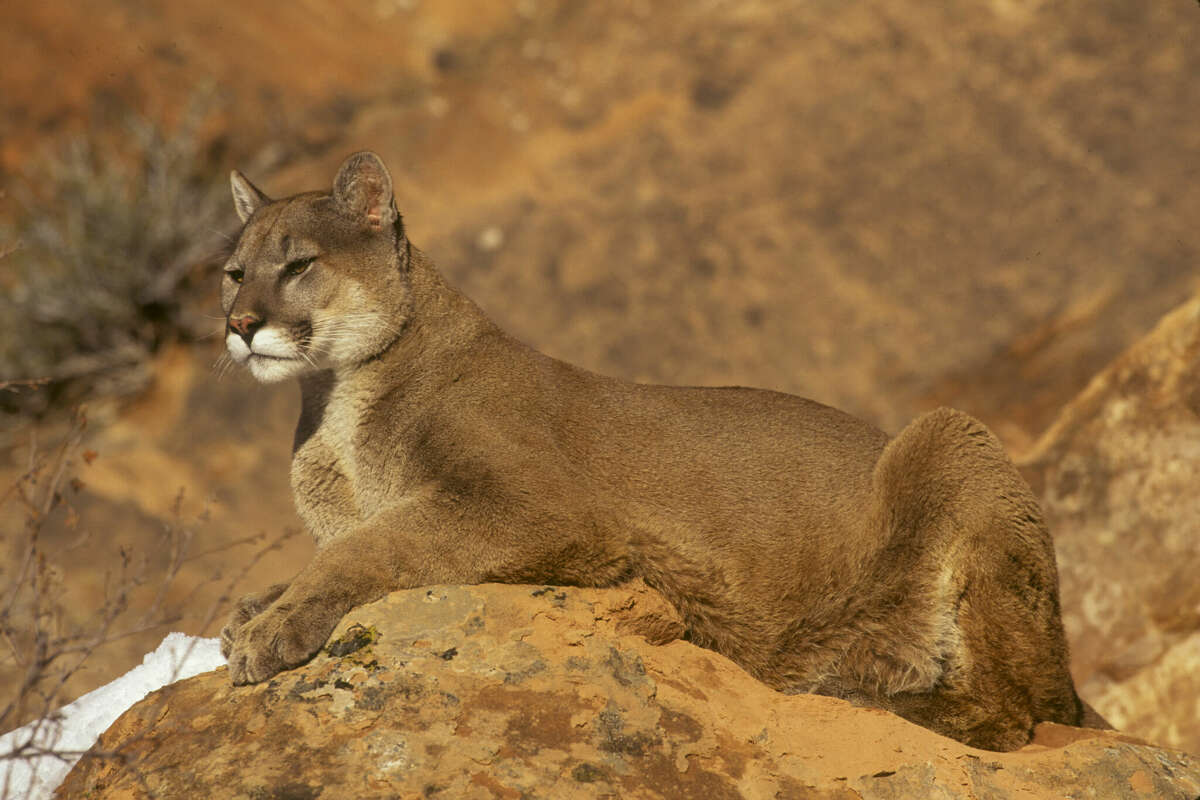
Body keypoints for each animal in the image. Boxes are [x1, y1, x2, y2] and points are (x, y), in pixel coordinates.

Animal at [220, 149, 1084, 753]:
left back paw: (844, 692)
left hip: (949, 435)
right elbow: (336, 548)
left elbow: (374, 543)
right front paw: (249, 609)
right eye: (233, 272)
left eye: (298, 264)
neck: (335, 400)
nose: (238, 325)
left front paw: (270, 628)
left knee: (1017, 714)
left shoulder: (537, 508)